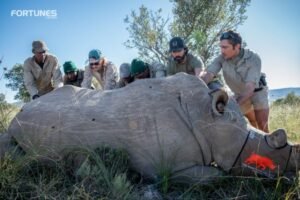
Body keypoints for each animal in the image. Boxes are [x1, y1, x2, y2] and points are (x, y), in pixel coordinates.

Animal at [1, 73, 298, 181]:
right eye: (270, 146)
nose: (291, 173)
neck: (206, 115)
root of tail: (21, 110)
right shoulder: (166, 169)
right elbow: (214, 177)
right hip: (19, 127)